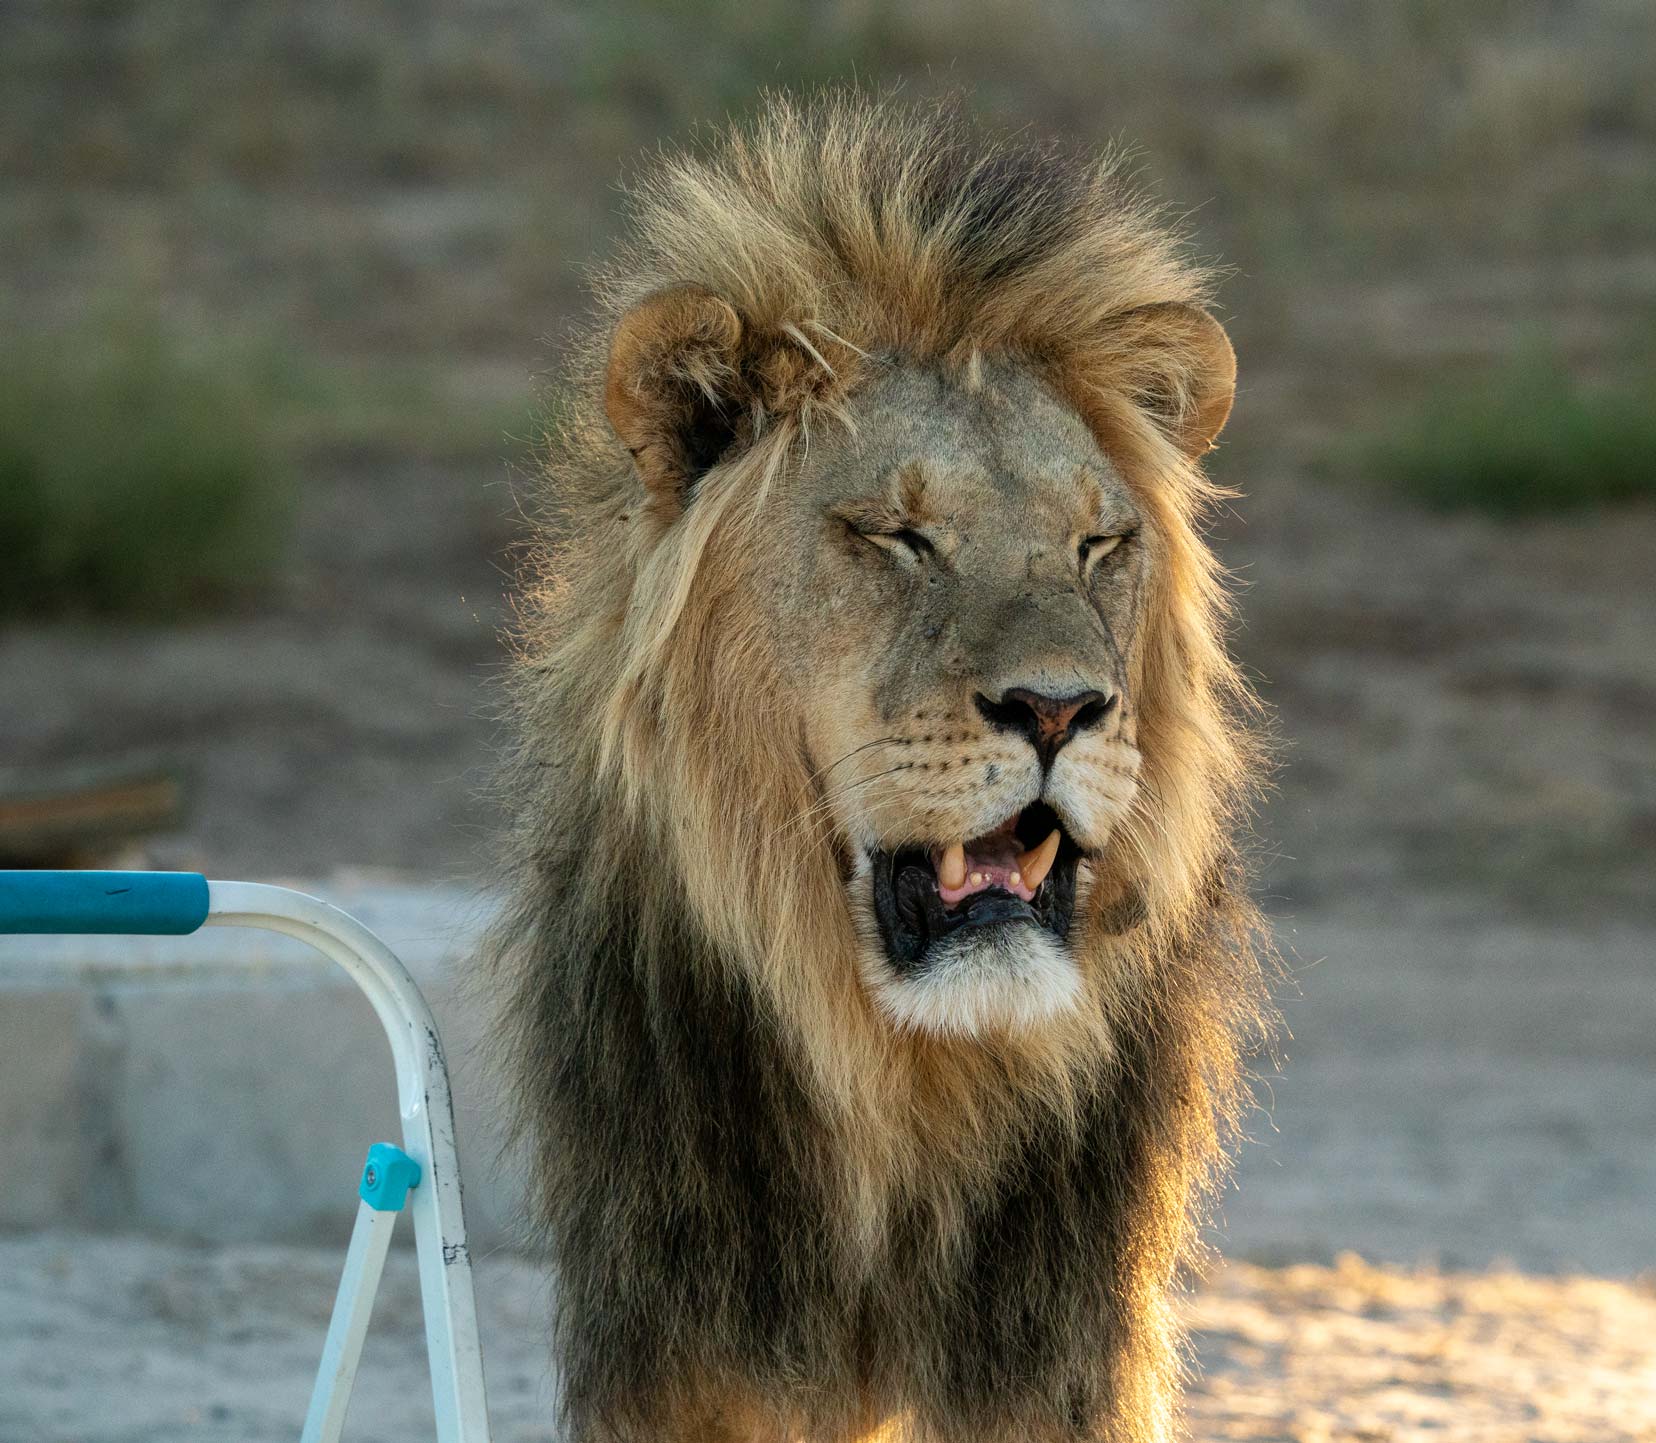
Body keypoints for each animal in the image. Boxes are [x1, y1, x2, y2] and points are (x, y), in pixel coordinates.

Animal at [483, 93, 1271, 1443]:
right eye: (899, 537)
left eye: (1097, 544)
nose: (1059, 708)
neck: (904, 1088)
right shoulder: (686, 1346)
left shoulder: (1057, 1354)